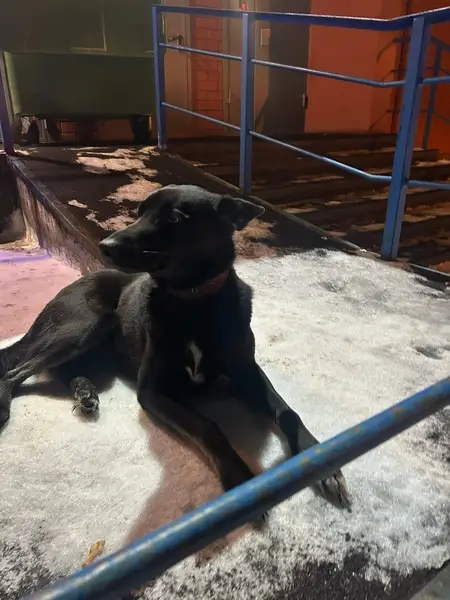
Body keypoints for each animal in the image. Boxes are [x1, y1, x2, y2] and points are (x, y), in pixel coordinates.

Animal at [0, 184, 350, 509]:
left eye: (174, 219)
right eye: (139, 213)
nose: (104, 246)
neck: (194, 303)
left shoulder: (248, 372)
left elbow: (288, 412)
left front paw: (320, 460)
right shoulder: (152, 391)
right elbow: (207, 425)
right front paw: (237, 473)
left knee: (60, 369)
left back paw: (84, 392)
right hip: (86, 325)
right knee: (17, 371)